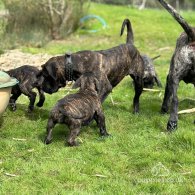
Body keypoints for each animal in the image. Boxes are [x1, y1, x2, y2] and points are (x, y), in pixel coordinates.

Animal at [159, 0, 195, 131]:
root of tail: (192, 38)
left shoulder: (170, 76)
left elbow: (167, 96)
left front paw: (164, 109)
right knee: (175, 99)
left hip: (174, 76)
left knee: (175, 99)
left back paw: (172, 122)